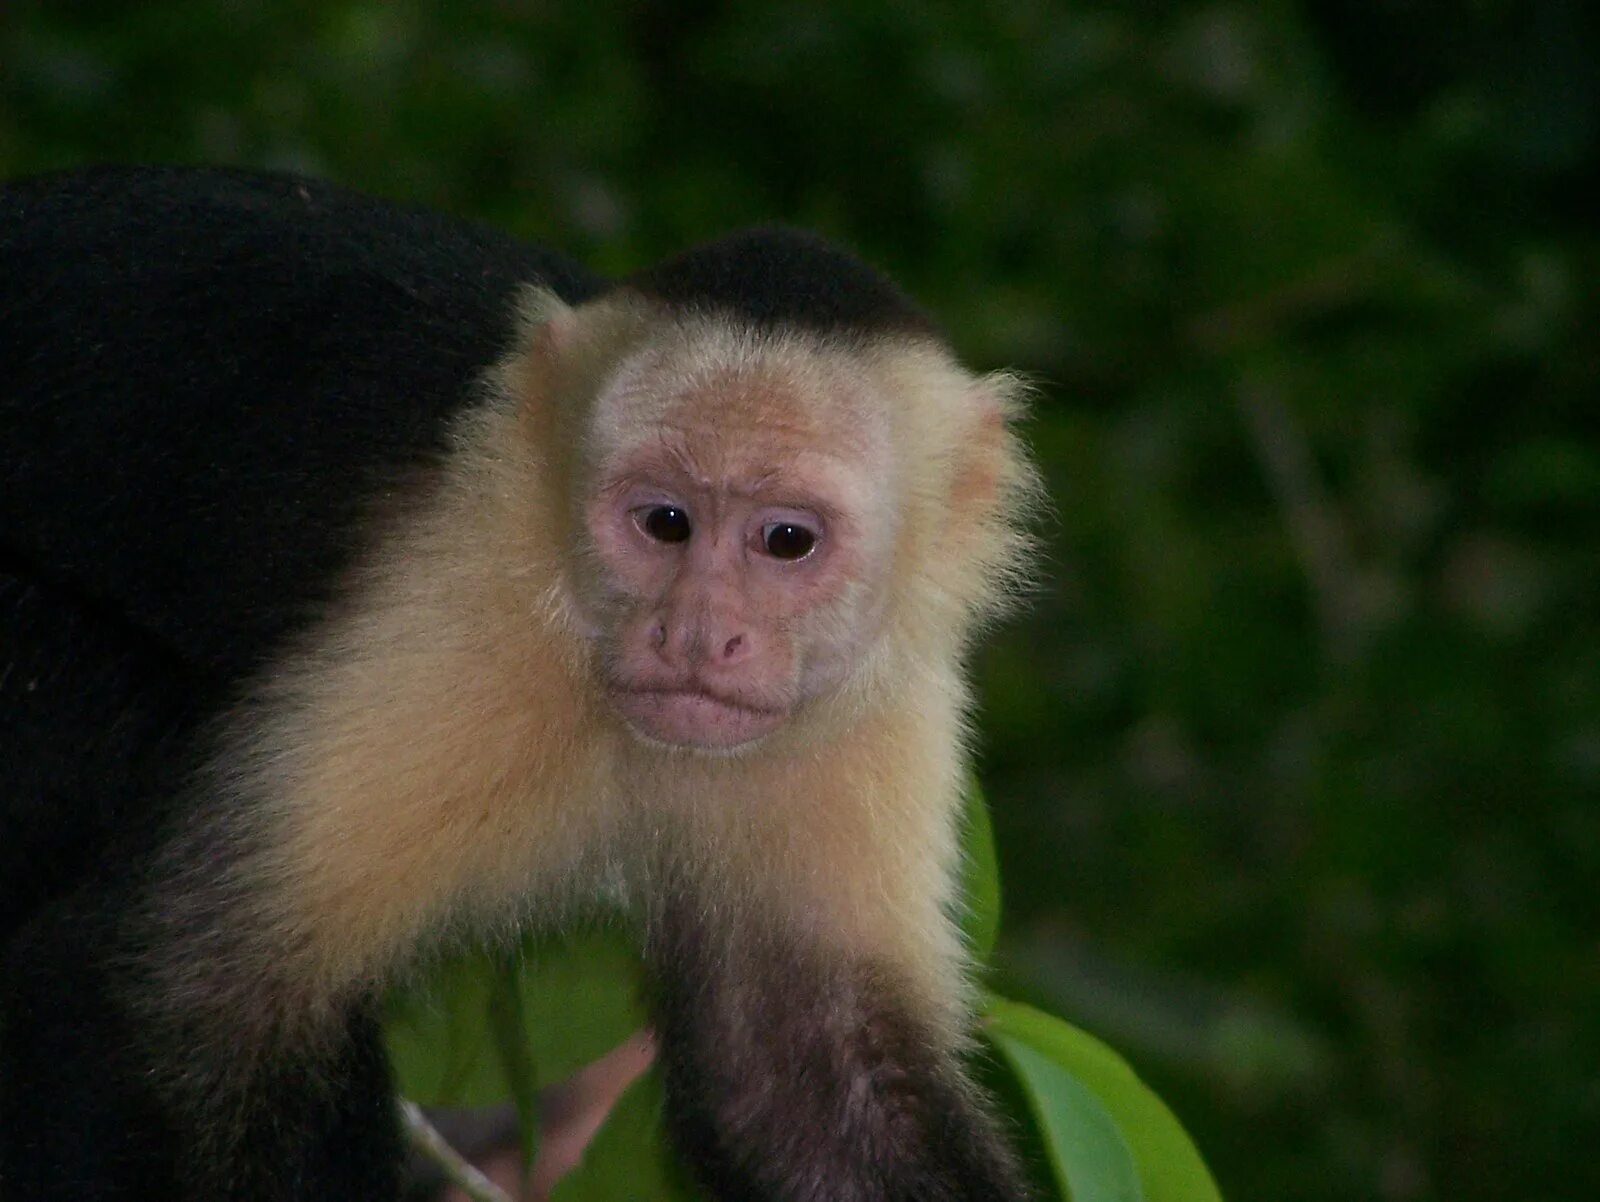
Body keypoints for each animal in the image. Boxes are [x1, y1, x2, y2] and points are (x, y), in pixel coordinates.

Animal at [0, 169, 1036, 1202]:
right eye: (664, 522)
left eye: (787, 540)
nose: (698, 635)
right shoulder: (467, 607)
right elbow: (195, 998)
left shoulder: (881, 703)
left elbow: (806, 1087)